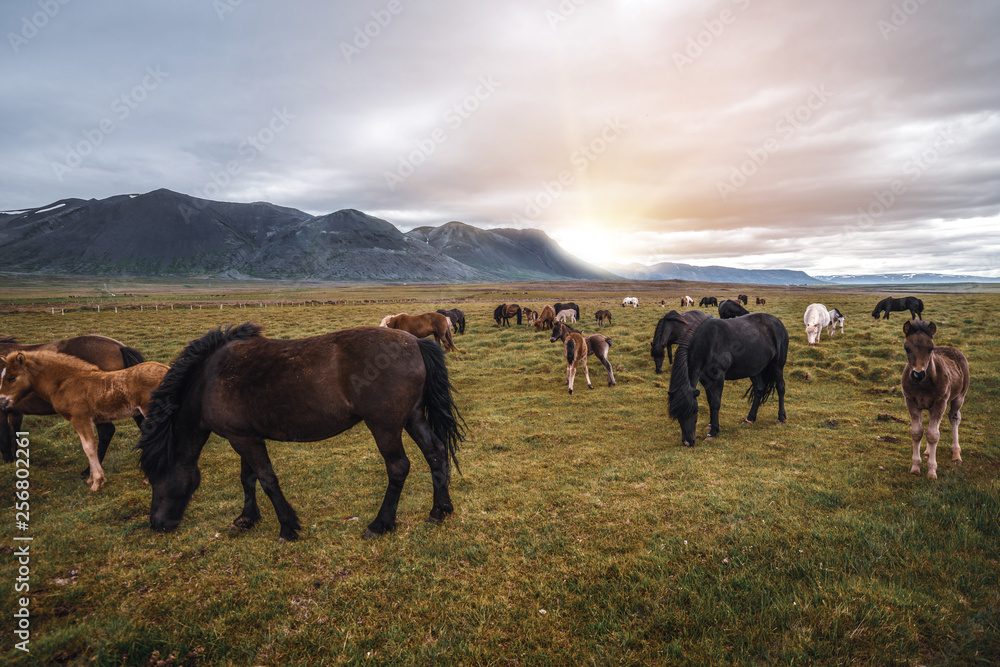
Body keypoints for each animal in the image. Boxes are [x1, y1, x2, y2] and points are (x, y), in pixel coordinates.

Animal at [0, 334, 147, 470]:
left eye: (11, 378)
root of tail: (119, 347)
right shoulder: (15, 411)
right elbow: (14, 435)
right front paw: (14, 461)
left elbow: (5, 436)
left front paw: (8, 461)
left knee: (106, 432)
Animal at [0, 350, 168, 490]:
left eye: (11, 377)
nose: (1, 402)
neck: (65, 382)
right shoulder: (88, 420)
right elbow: (90, 446)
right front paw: (92, 479)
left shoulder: (80, 419)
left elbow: (89, 447)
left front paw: (97, 482)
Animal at [139, 324, 466, 544]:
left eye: (156, 477)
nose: (158, 524)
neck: (209, 380)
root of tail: (415, 342)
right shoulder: (244, 436)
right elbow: (248, 478)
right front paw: (246, 518)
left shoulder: (244, 440)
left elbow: (267, 480)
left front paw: (287, 527)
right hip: (413, 418)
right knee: (435, 453)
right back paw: (439, 510)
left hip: (385, 427)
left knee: (399, 467)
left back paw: (380, 523)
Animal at [668, 314, 784, 448]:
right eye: (678, 415)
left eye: (695, 411)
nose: (687, 442)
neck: (708, 343)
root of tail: (777, 322)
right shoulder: (705, 379)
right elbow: (710, 400)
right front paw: (710, 424)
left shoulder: (719, 376)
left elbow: (715, 403)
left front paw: (713, 432)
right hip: (754, 369)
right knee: (759, 389)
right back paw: (750, 418)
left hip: (777, 365)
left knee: (781, 388)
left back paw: (781, 418)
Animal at [900, 320, 968, 480]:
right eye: (906, 348)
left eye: (930, 348)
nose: (918, 374)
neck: (922, 385)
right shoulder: (911, 401)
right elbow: (917, 432)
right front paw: (915, 467)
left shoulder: (940, 403)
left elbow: (933, 435)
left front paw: (931, 470)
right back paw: (927, 451)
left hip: (958, 397)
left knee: (954, 418)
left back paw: (956, 455)